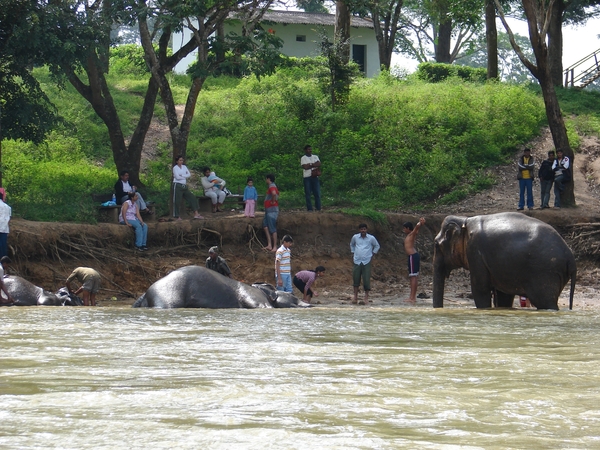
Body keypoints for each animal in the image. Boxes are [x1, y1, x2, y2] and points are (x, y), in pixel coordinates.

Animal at [432, 213, 576, 312]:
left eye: (435, 245)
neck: (465, 221)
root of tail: (570, 257)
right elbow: (504, 296)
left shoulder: (475, 253)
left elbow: (480, 289)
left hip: (545, 272)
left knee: (545, 302)